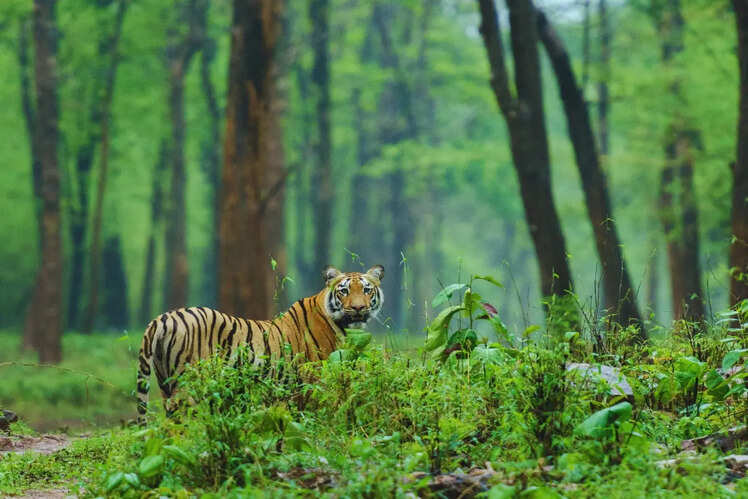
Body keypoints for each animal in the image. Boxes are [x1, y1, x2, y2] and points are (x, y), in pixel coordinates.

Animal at [136, 265, 384, 424]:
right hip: (188, 388)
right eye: (344, 291)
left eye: (366, 289)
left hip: (166, 385)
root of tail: (162, 318)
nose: (359, 308)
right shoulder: (313, 383)